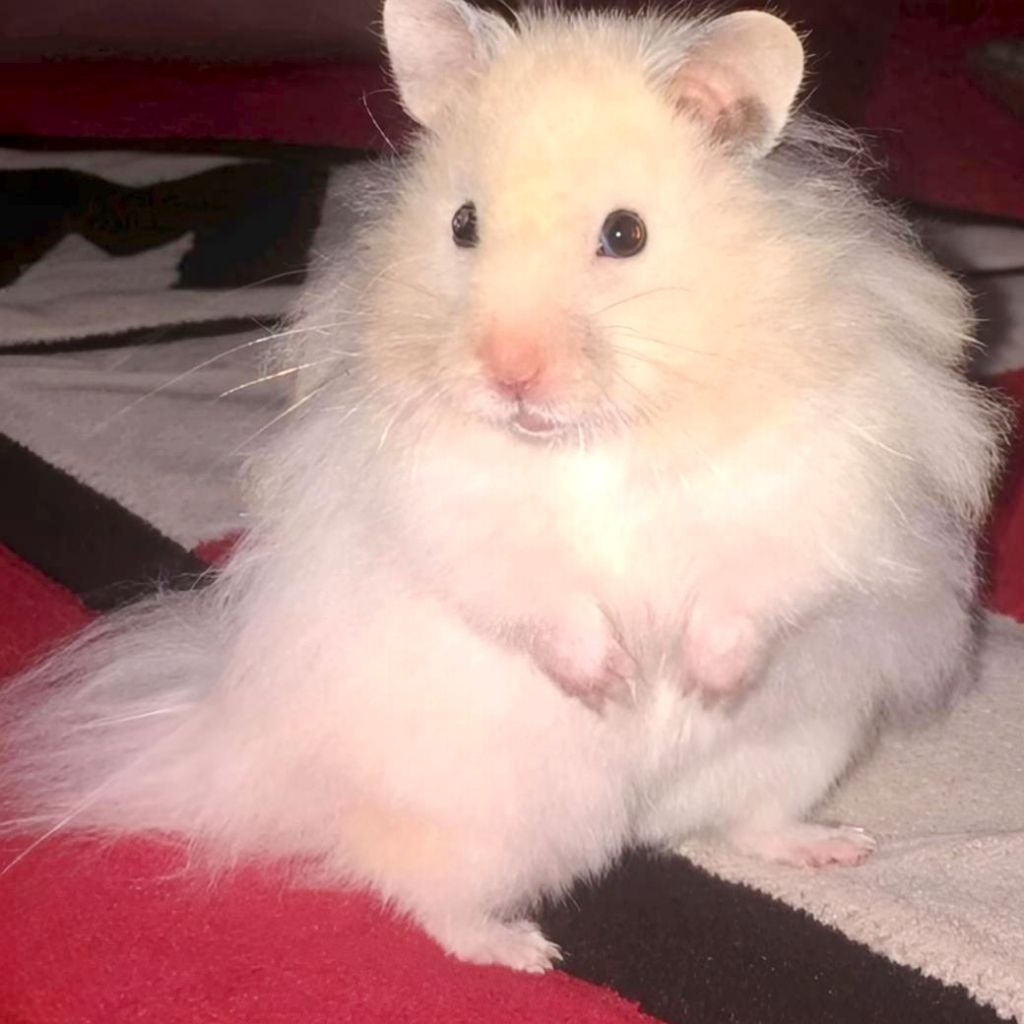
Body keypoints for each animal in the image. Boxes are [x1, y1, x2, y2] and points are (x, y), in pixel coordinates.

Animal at [1, 0, 1005, 972]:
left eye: (626, 234)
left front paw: (692, 682)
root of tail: (643, 818)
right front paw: (614, 686)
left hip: (805, 743)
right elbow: (535, 591)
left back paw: (836, 845)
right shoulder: (454, 508)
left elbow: (751, 583)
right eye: (462, 224)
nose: (509, 374)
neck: (600, 434)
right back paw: (523, 951)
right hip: (473, 817)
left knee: (746, 820)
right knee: (410, 883)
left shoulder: (812, 482)